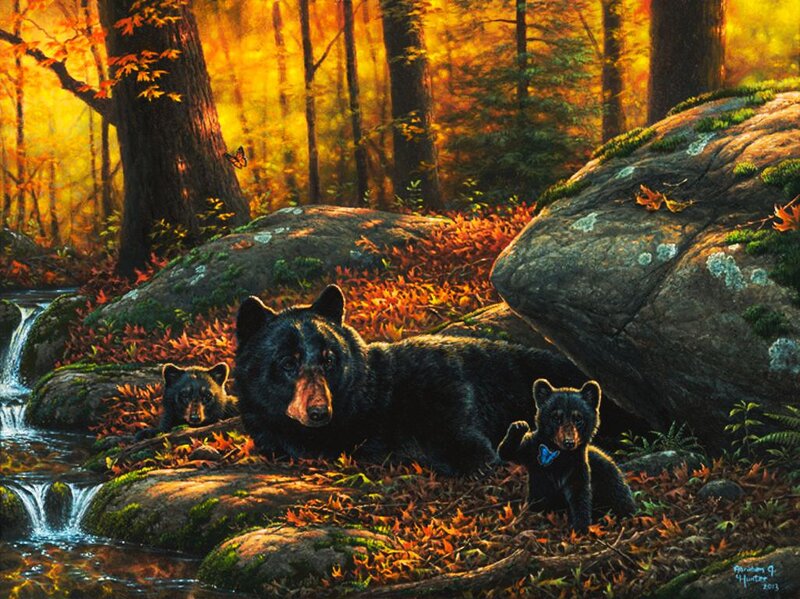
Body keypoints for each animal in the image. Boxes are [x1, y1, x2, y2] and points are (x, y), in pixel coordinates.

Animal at [497, 378, 636, 533]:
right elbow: (508, 452)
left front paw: (581, 526)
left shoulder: (577, 467)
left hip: (610, 478)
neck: (560, 455)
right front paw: (519, 425)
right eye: (556, 417)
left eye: (578, 418)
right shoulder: (532, 453)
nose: (569, 442)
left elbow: (580, 495)